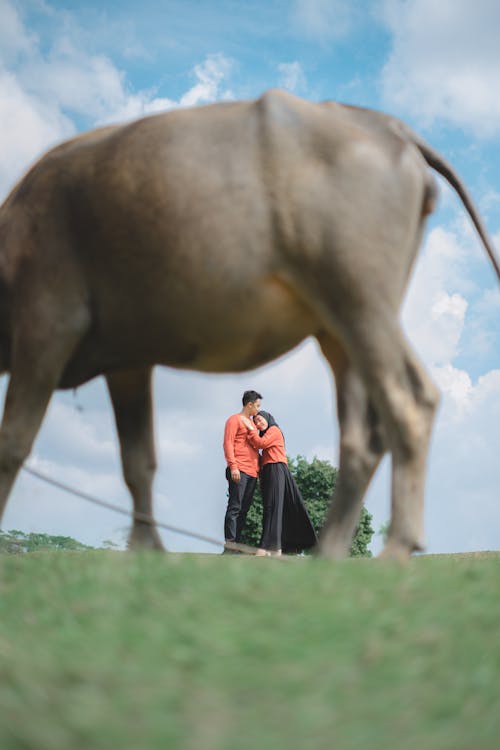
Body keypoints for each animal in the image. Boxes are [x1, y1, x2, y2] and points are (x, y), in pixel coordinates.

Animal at [0, 91, 500, 560]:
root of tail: (391, 127)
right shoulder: (128, 358)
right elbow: (138, 459)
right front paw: (147, 550)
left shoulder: (47, 322)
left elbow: (13, 441)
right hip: (341, 326)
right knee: (361, 434)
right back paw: (328, 553)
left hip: (361, 299)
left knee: (411, 400)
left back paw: (395, 548)